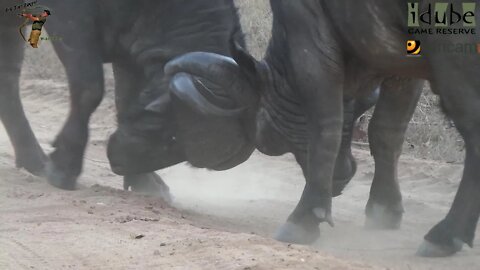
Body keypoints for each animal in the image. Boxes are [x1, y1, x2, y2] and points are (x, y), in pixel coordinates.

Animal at [163, 0, 478, 258]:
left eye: (267, 139)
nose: (339, 178)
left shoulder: (311, 43)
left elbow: (326, 127)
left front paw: (304, 217)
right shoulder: (402, 66)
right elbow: (386, 130)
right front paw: (384, 208)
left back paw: (446, 234)